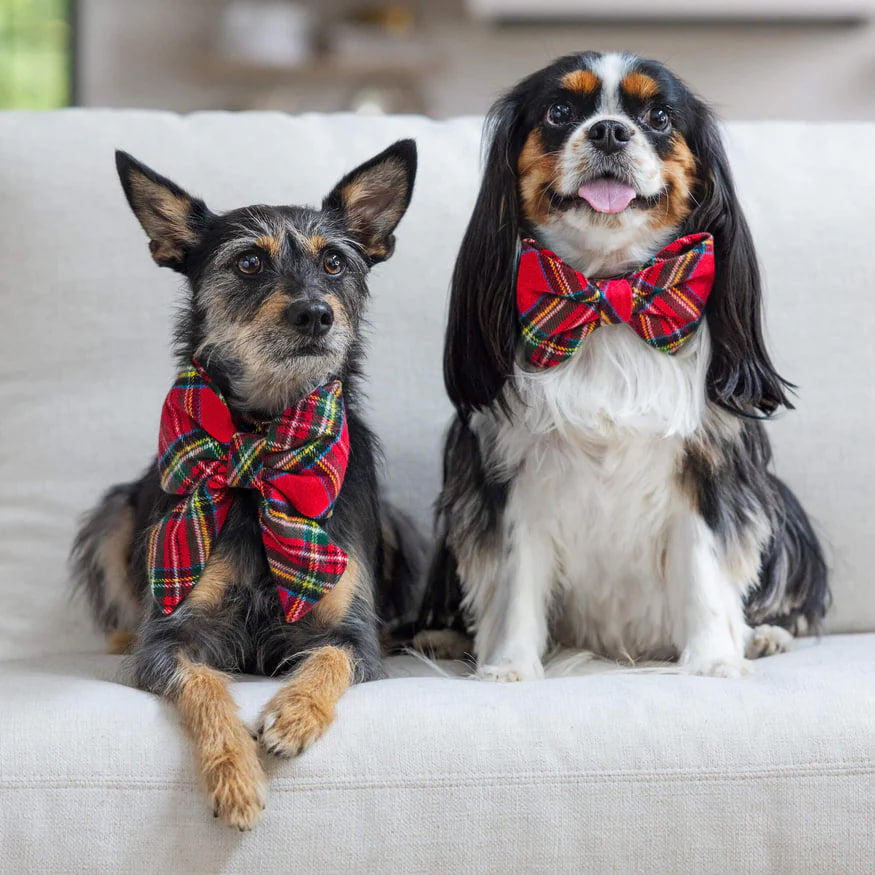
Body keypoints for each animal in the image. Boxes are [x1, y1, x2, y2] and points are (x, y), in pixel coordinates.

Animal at [70, 140, 420, 832]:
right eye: (250, 262)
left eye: (336, 262)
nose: (314, 313)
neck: (266, 433)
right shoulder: (173, 638)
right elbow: (204, 687)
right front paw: (235, 779)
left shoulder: (354, 638)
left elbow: (330, 659)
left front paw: (293, 715)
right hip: (112, 516)